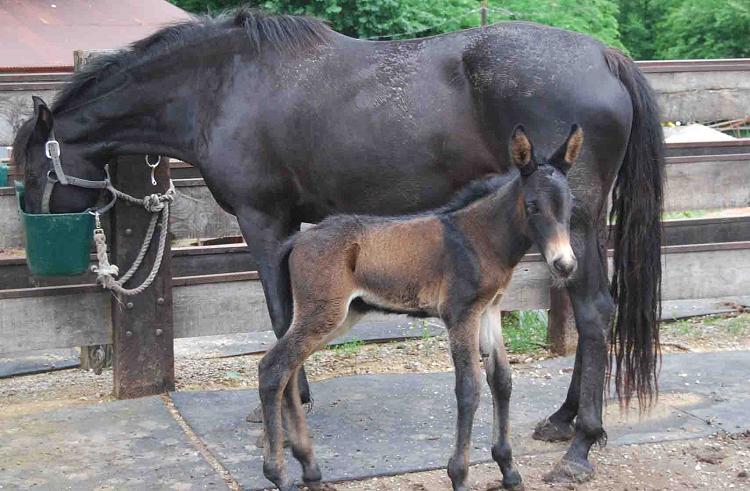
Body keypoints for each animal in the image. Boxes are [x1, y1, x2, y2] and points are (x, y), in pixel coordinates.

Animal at [259, 125, 582, 490]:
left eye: (570, 204)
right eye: (532, 206)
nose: (565, 265)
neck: (480, 238)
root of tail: (298, 239)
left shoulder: (489, 309)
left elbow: (501, 380)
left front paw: (509, 470)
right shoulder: (461, 314)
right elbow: (468, 387)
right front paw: (459, 475)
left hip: (336, 316)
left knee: (289, 371)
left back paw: (310, 469)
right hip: (323, 313)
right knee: (273, 368)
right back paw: (278, 474)